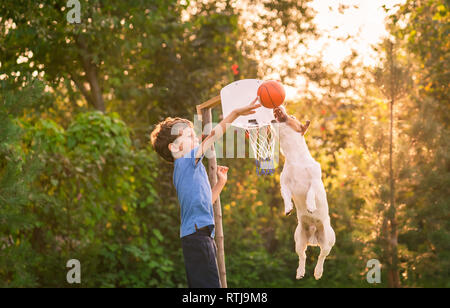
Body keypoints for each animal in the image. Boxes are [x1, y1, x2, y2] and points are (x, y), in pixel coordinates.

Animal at [270, 107, 334, 280]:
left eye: (292, 116)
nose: (279, 108)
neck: (294, 158)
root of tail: (313, 237)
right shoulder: (284, 184)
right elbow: (286, 196)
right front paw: (288, 208)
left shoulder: (315, 181)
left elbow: (310, 192)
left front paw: (310, 206)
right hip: (298, 239)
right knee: (302, 255)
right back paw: (300, 271)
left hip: (328, 240)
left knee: (322, 256)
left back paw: (318, 272)